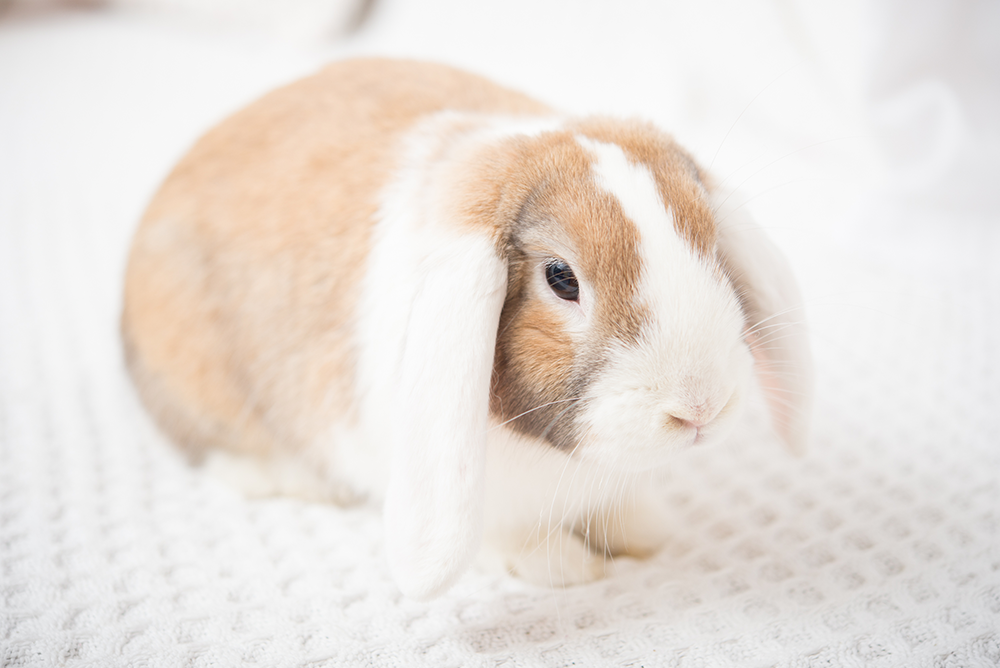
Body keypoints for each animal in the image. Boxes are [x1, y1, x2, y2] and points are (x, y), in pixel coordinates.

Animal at [122, 58, 812, 600]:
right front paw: (565, 569)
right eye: (562, 278)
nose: (700, 408)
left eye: (710, 242)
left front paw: (645, 532)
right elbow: (510, 537)